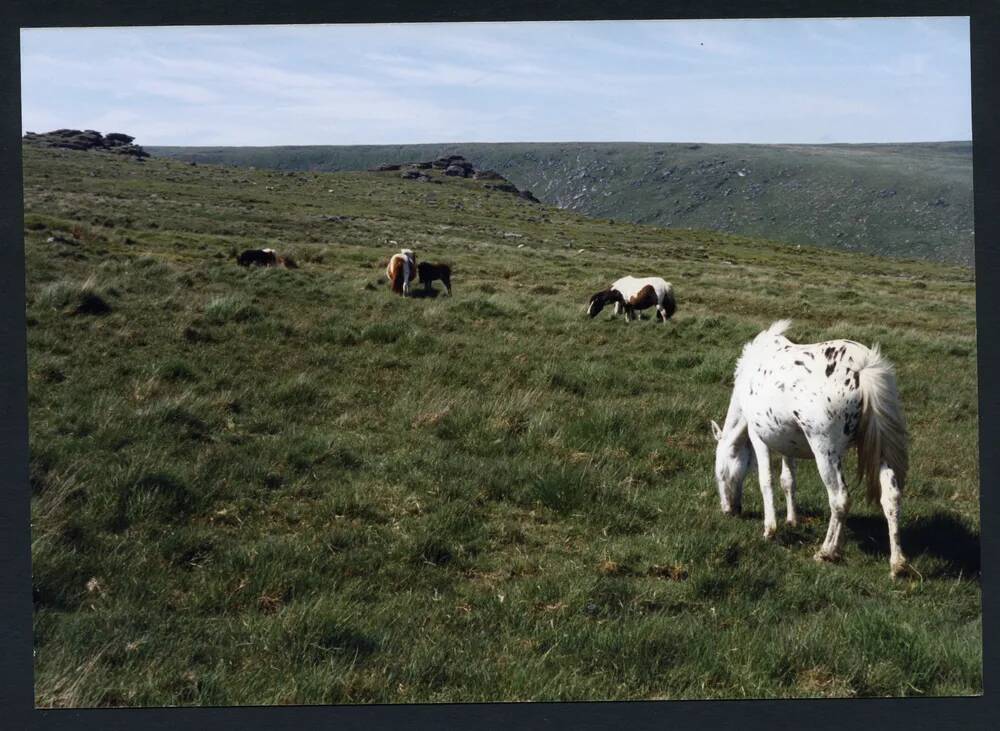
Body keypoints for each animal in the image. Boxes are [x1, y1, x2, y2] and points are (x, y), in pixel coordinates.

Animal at [708, 320, 912, 576]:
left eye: (719, 472)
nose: (730, 510)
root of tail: (862, 367)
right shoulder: (786, 442)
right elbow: (788, 480)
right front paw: (792, 520)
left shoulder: (759, 437)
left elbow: (766, 480)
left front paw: (770, 529)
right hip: (879, 450)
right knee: (891, 497)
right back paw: (897, 563)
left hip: (825, 451)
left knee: (840, 499)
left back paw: (827, 552)